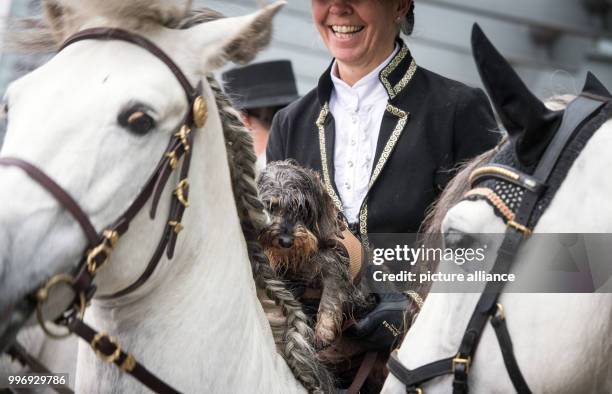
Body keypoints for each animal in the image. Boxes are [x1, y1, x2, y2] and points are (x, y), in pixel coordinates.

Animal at [255, 159, 370, 344]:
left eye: (301, 208)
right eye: (270, 206)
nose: (286, 241)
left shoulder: (335, 269)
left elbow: (329, 299)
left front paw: (324, 330)